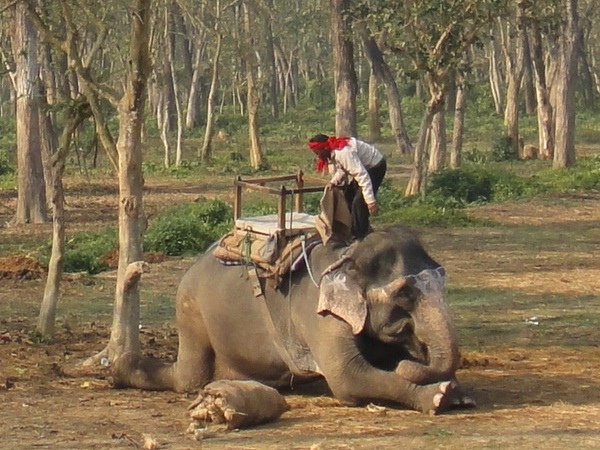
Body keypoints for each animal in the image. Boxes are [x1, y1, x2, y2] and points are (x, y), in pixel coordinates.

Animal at [113, 225, 474, 414]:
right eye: (404, 293)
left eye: (442, 278)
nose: (414, 358)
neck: (350, 255)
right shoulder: (319, 315)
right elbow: (348, 378)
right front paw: (439, 397)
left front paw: (457, 393)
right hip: (191, 310)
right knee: (189, 379)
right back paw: (121, 368)